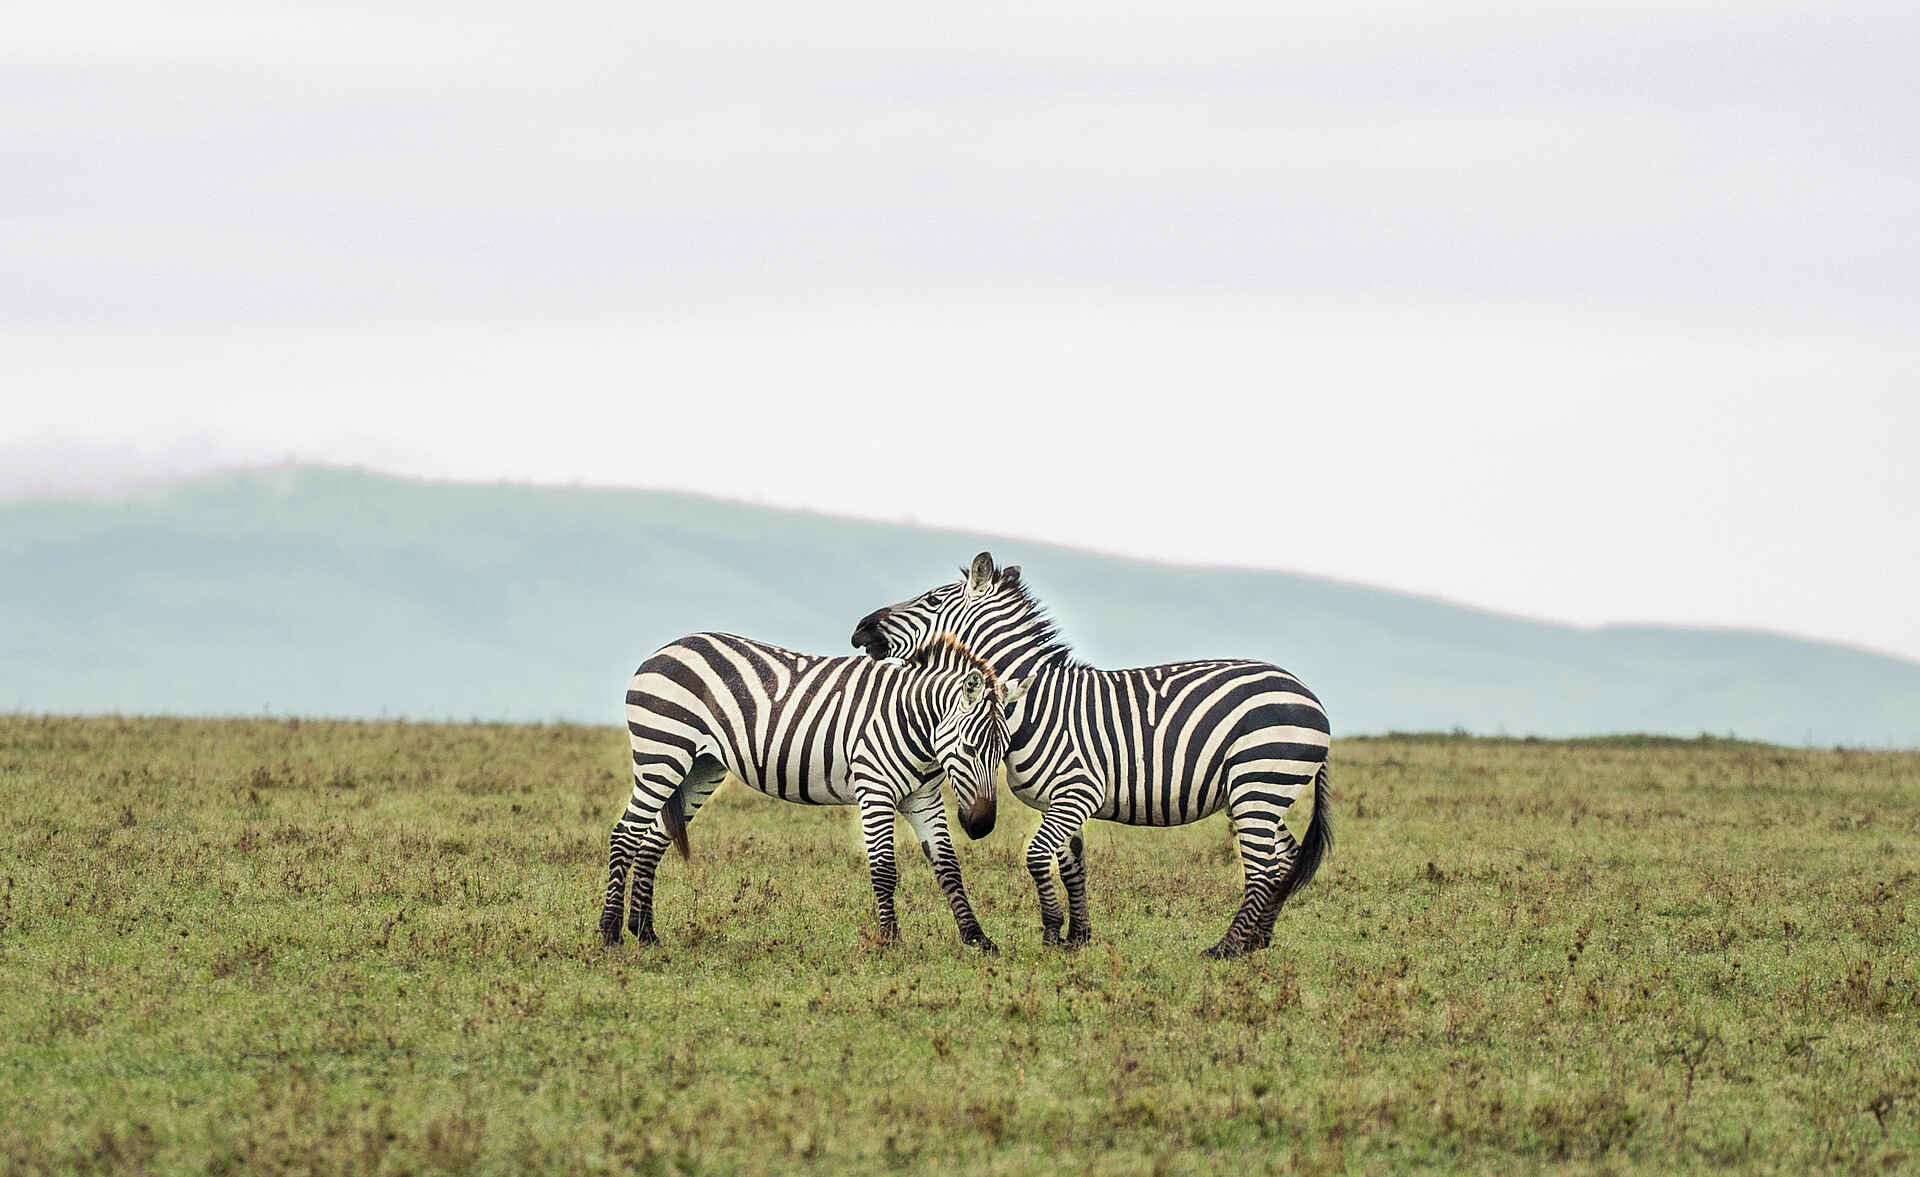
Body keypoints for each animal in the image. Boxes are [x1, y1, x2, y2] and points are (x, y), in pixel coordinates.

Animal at [599, 631, 1027, 952]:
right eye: (970, 748)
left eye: (1003, 752)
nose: (981, 826)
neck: (915, 724)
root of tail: (666, 648)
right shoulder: (875, 790)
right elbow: (885, 869)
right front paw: (891, 941)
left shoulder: (923, 800)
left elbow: (948, 866)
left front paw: (977, 937)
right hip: (662, 753)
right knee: (626, 834)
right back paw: (610, 933)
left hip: (700, 767)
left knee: (652, 840)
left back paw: (645, 933)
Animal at [849, 552, 1332, 959]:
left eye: (931, 599)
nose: (860, 630)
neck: (1034, 703)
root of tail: (1308, 693)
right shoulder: (1060, 801)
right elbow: (1071, 866)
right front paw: (1077, 937)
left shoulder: (1078, 792)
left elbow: (1036, 857)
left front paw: (1050, 934)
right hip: (1259, 791)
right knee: (1284, 860)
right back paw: (1259, 940)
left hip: (1258, 782)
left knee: (1262, 867)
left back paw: (1227, 948)